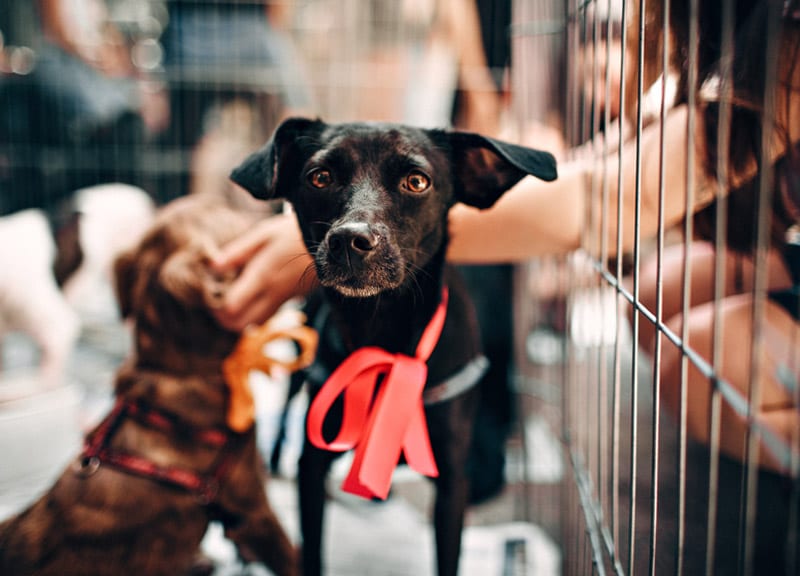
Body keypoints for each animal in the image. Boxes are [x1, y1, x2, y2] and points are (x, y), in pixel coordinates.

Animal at [231, 118, 556, 576]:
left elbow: (448, 556)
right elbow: (312, 549)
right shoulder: (312, 463)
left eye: (416, 181)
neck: (380, 329)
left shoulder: (452, 479)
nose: (350, 240)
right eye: (319, 177)